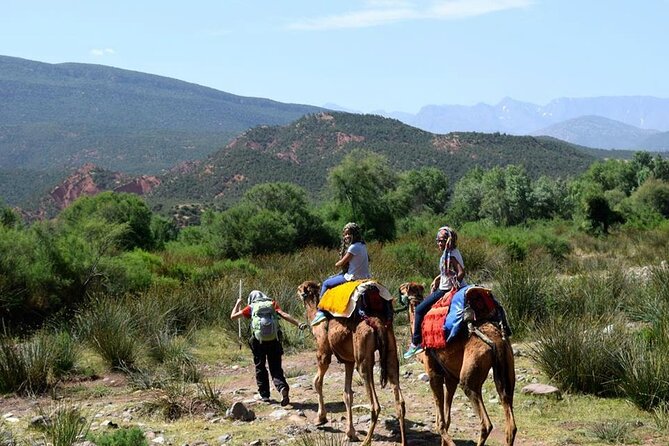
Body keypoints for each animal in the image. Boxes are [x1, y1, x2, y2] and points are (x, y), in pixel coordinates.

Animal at [297, 280, 406, 445]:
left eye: (301, 289)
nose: (297, 291)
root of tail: (377, 323)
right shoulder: (348, 361)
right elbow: (347, 394)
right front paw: (350, 433)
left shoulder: (323, 353)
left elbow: (317, 382)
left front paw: (320, 418)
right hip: (391, 349)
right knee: (399, 401)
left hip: (363, 357)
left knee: (375, 405)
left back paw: (366, 441)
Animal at [399, 282, 517, 446]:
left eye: (403, 288)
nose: (398, 291)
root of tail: (496, 340)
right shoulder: (450, 378)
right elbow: (447, 420)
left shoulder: (434, 374)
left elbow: (440, 423)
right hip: (506, 368)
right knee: (510, 424)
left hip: (469, 378)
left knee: (486, 424)